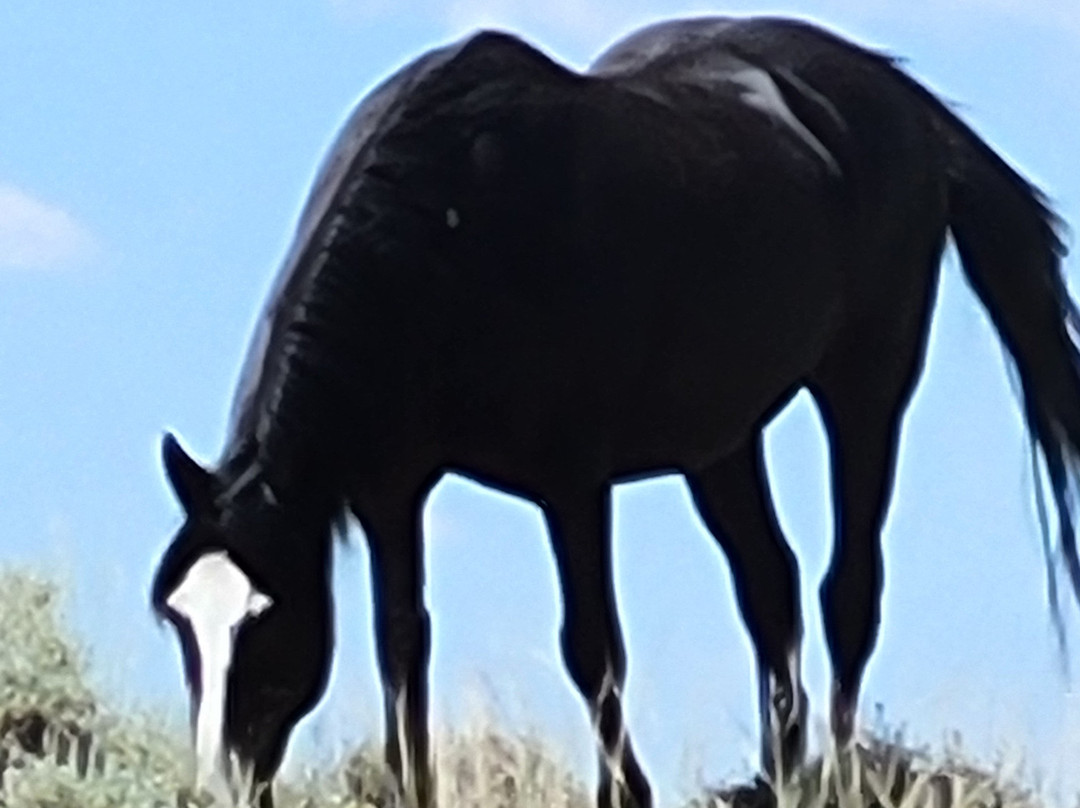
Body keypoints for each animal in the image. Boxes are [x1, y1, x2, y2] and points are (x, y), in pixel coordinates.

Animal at [150, 15, 1080, 808]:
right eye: (178, 621)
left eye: (262, 618)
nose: (215, 782)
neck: (451, 231)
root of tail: (902, 100)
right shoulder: (392, 489)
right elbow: (401, 640)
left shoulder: (571, 483)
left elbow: (591, 645)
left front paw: (624, 793)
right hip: (719, 441)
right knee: (770, 588)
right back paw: (778, 775)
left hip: (865, 388)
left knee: (847, 588)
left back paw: (838, 775)